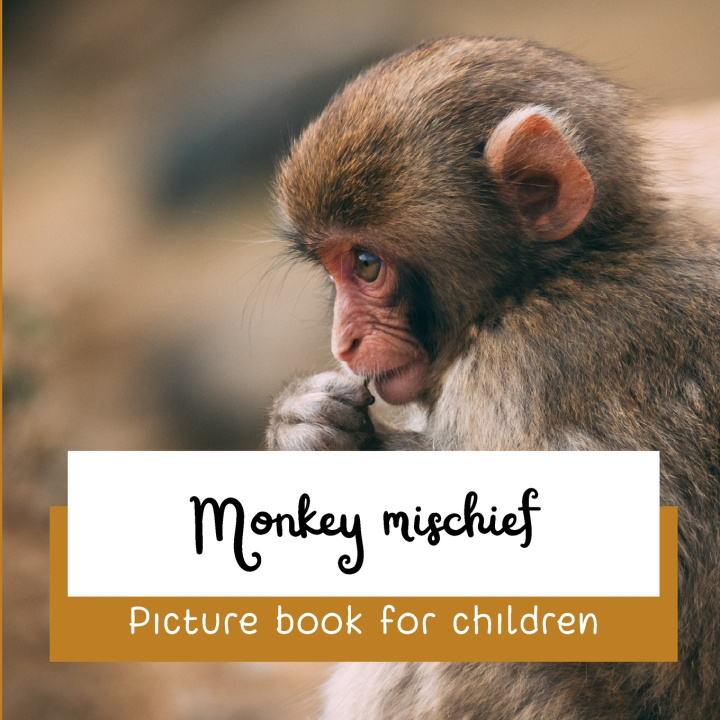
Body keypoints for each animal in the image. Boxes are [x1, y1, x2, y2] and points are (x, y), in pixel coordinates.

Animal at [266, 37, 720, 719]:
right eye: (333, 268)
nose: (343, 342)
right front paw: (300, 421)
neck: (536, 284)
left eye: (366, 264)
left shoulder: (524, 369)